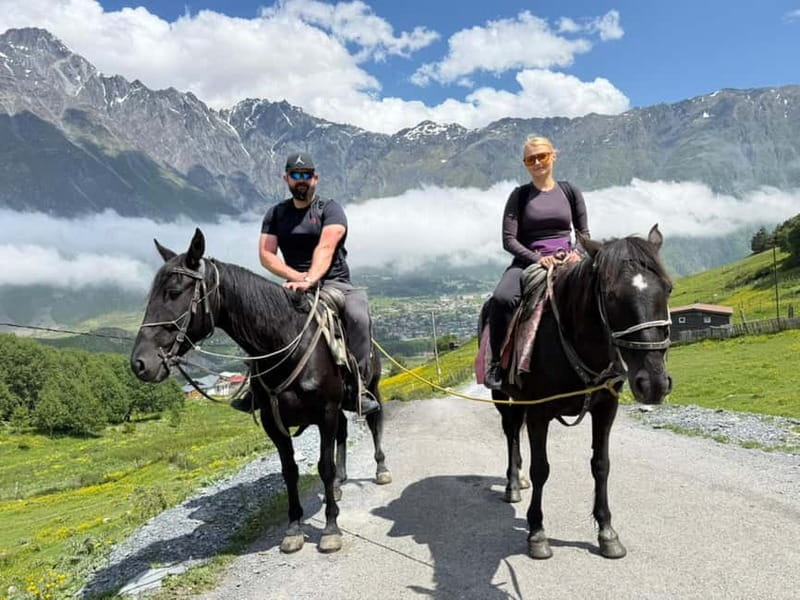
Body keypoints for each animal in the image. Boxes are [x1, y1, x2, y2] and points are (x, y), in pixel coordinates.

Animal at [130, 228, 391, 554]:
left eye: (174, 292)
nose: (140, 363)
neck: (286, 343)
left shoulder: (326, 412)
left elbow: (325, 466)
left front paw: (331, 528)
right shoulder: (272, 423)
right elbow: (290, 471)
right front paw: (293, 528)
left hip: (370, 386)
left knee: (374, 422)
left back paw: (381, 469)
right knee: (343, 433)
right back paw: (339, 486)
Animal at [483, 225, 672, 559]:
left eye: (668, 289)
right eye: (611, 296)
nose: (654, 384)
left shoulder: (606, 407)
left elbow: (601, 465)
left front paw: (607, 532)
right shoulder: (539, 411)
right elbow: (541, 468)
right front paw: (537, 533)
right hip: (503, 398)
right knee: (510, 432)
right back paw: (512, 485)